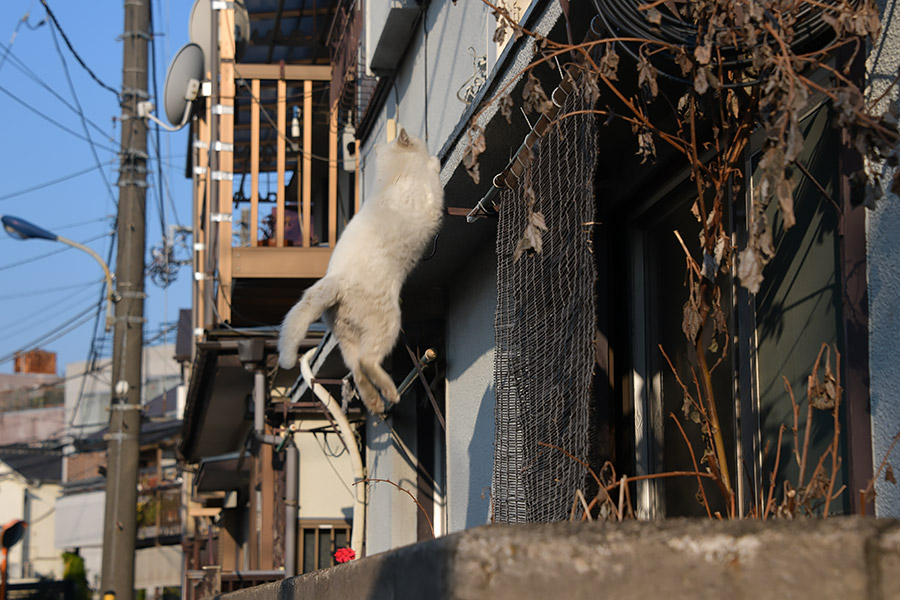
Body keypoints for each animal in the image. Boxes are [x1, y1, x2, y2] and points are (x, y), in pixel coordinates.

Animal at [274, 128, 442, 414]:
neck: (394, 174)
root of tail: (334, 282)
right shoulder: (431, 193)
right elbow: (434, 167)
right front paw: (434, 159)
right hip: (387, 322)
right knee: (366, 361)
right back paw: (389, 392)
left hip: (347, 338)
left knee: (357, 372)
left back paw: (375, 401)